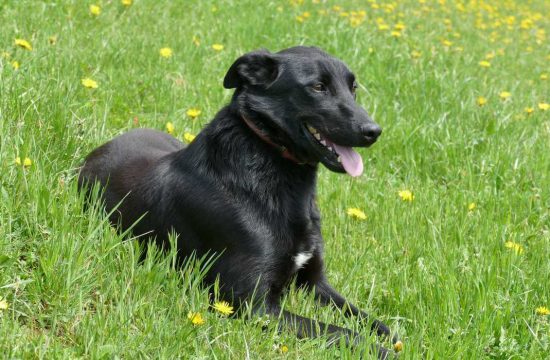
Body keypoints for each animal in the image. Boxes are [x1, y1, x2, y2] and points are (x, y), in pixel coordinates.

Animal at [78, 45, 402, 358]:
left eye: (353, 87)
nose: (373, 131)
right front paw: (380, 350)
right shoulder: (250, 305)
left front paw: (395, 337)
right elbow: (340, 331)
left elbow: (367, 318)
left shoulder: (315, 283)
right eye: (318, 87)